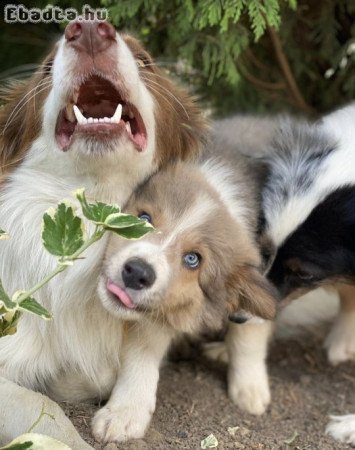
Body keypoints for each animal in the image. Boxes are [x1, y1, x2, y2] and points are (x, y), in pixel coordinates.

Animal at [0, 18, 206, 442]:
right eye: (46, 67)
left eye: (144, 60)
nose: (91, 29)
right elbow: (45, 408)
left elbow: (140, 348)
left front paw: (123, 405)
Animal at [95, 159, 278, 442]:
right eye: (144, 218)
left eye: (193, 259)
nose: (137, 272)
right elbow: (142, 351)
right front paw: (124, 413)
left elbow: (251, 329)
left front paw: (250, 388)